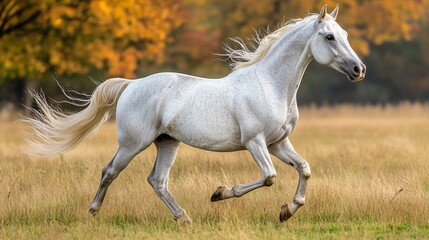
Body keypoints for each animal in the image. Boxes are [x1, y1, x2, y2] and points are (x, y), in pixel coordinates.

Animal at [25, 4, 364, 224]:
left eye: (345, 34)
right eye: (329, 37)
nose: (358, 69)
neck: (270, 84)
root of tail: (131, 85)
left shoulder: (278, 143)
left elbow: (304, 169)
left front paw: (286, 211)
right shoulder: (255, 142)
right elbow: (269, 177)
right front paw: (220, 193)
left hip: (167, 142)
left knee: (158, 180)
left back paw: (183, 218)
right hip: (133, 143)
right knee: (110, 172)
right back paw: (93, 212)